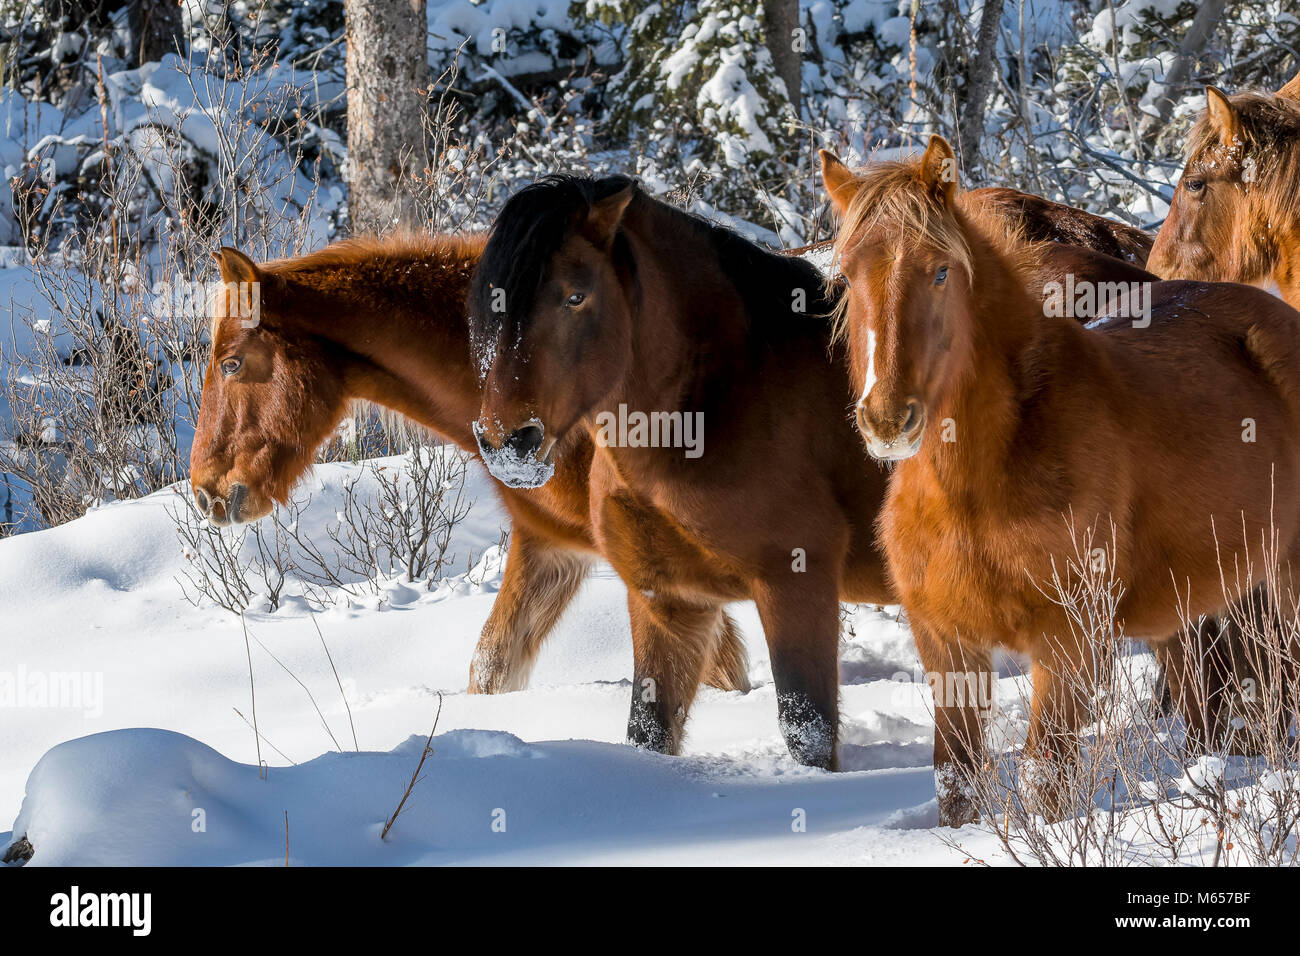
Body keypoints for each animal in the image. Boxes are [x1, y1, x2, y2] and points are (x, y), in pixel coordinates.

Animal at [467, 170, 1170, 770]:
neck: (717, 398)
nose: (508, 442)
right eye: (487, 305)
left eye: (575, 295)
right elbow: (649, 732)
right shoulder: (669, 602)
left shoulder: (796, 585)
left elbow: (806, 729)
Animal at [826, 132, 1300, 822]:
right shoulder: (946, 644)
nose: (887, 417)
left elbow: (1046, 779)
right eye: (847, 275)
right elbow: (958, 781)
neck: (976, 485)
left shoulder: (1067, 642)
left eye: (940, 271)